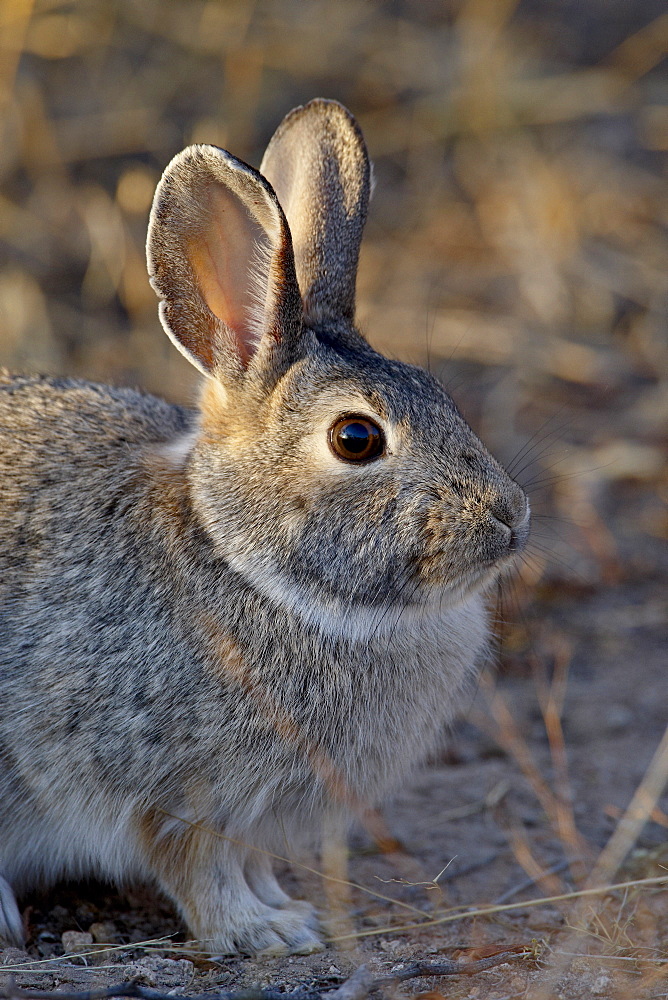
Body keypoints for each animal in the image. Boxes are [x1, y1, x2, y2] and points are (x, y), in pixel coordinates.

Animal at [1, 97, 532, 956]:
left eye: (438, 390)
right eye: (357, 438)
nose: (511, 519)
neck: (242, 563)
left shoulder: (252, 814)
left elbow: (249, 864)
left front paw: (288, 911)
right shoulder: (171, 792)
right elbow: (198, 870)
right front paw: (260, 934)